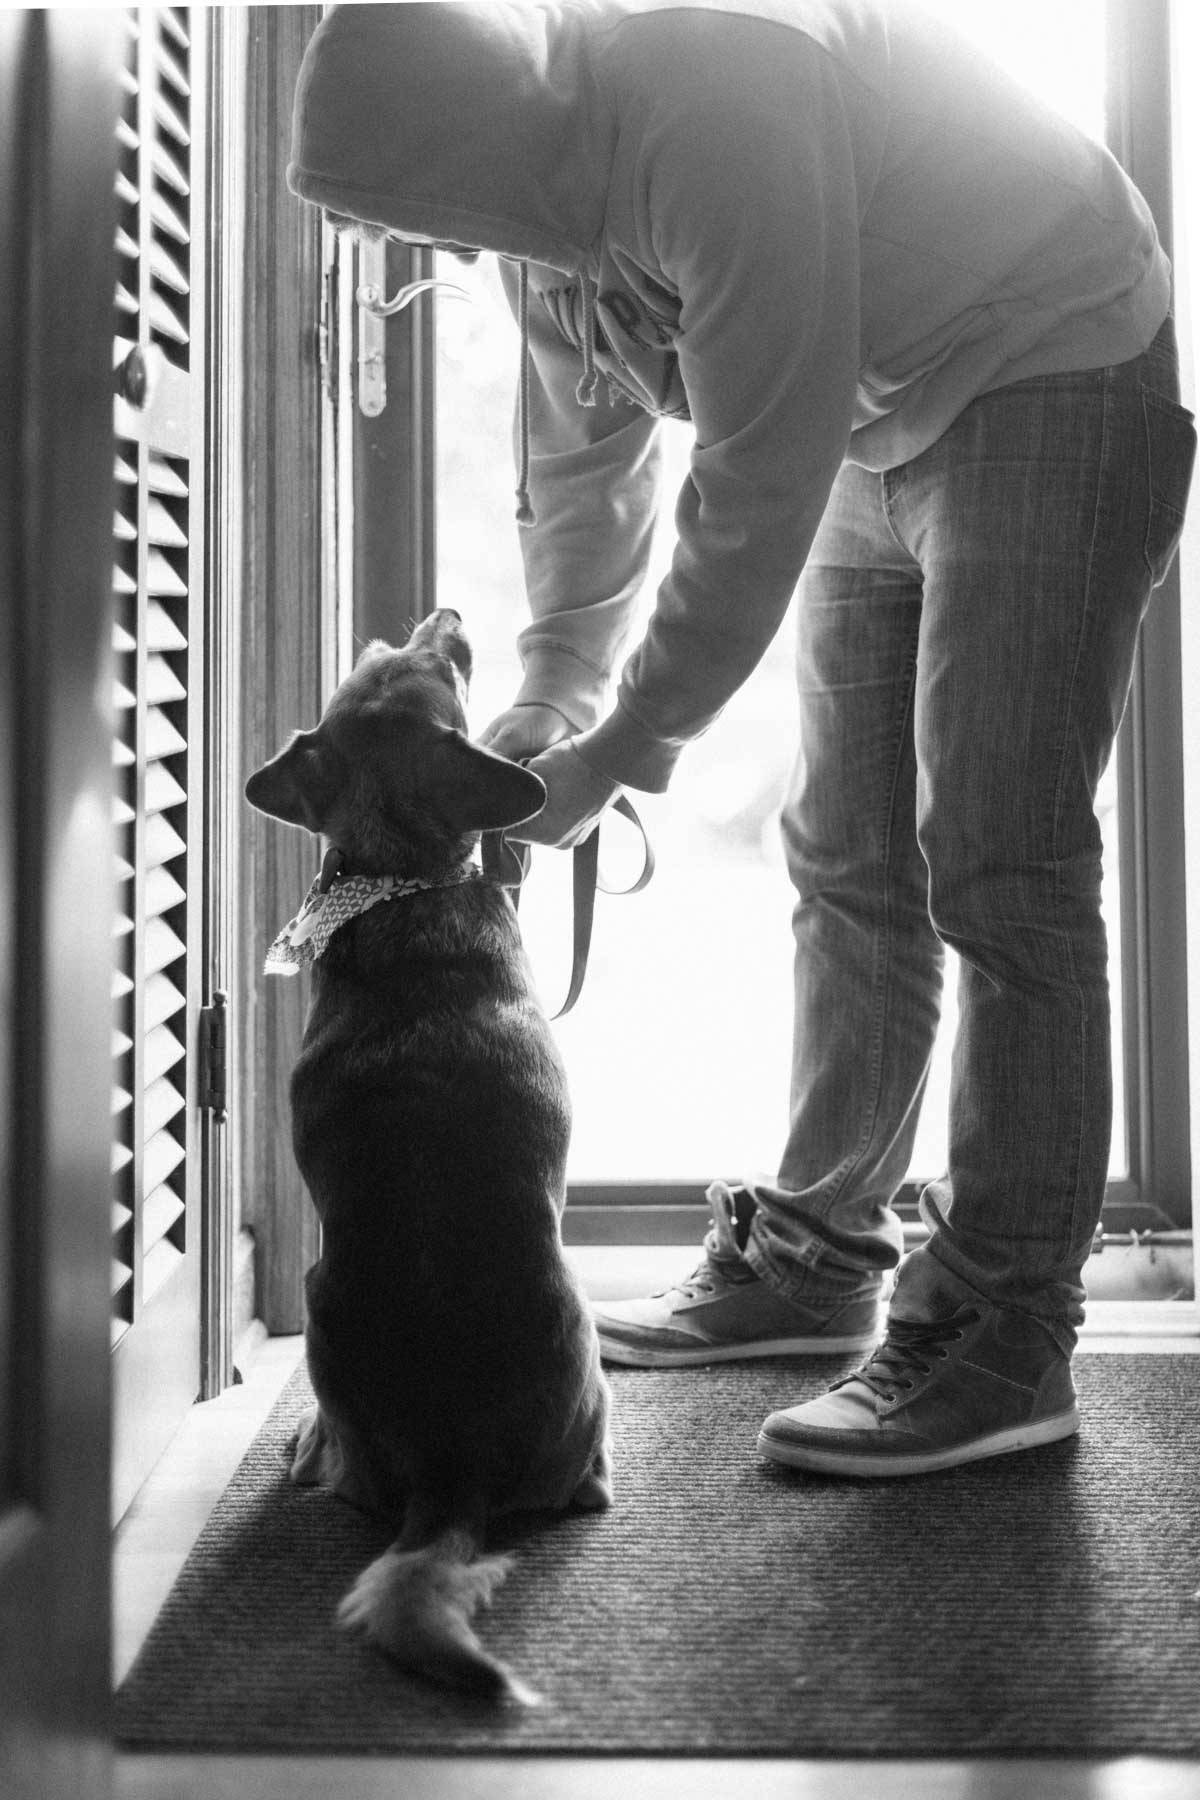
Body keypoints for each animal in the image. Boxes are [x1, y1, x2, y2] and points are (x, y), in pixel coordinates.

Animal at [248, 608, 615, 1699]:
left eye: (381, 662)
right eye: (423, 664)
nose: (446, 615)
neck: (401, 875)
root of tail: (457, 1473)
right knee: (581, 1490)